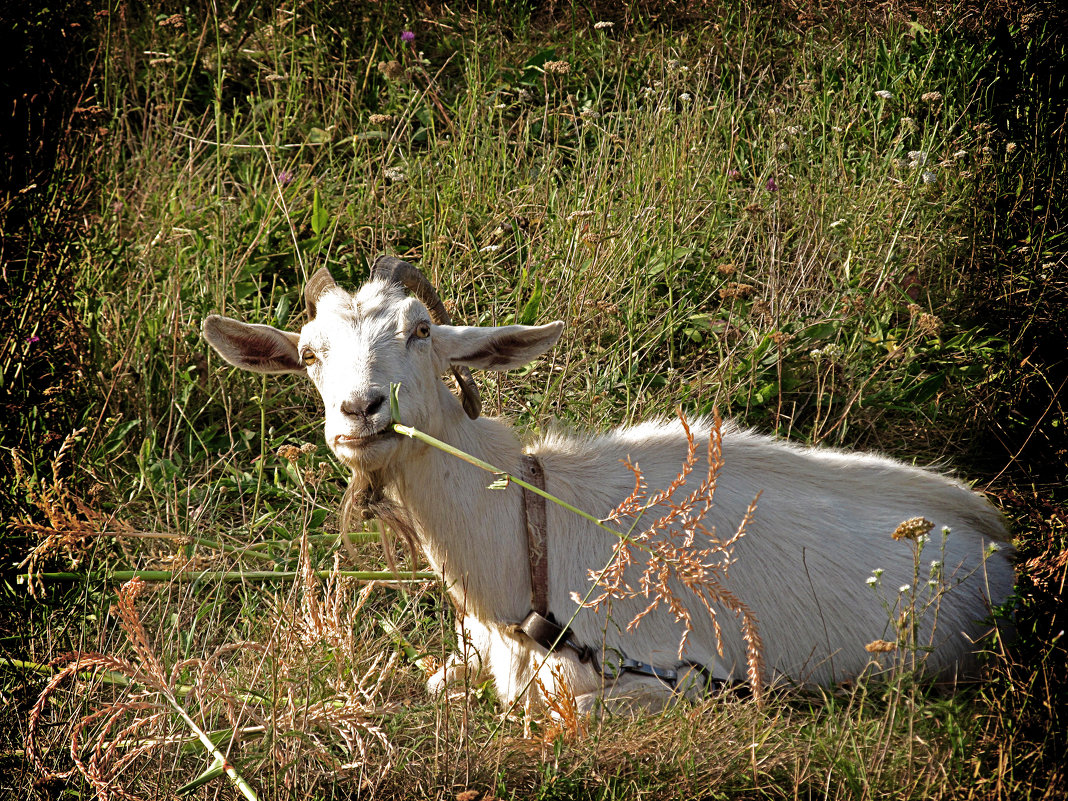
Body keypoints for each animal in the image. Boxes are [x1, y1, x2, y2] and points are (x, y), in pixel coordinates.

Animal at [203, 260, 1012, 713]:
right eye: (310, 352)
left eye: (422, 329)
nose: (360, 410)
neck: (526, 535)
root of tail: (997, 540)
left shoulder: (675, 673)